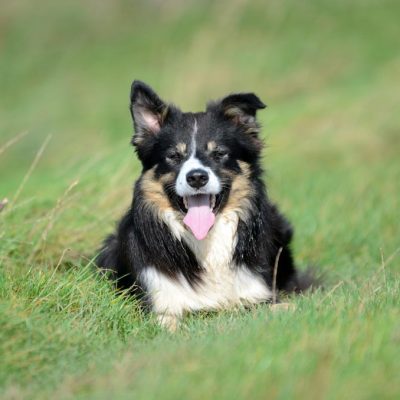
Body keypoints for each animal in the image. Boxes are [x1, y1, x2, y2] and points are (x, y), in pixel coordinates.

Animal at [97, 79, 310, 330]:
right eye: (173, 156)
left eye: (219, 153)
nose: (197, 177)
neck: (206, 241)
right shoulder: (161, 306)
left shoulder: (257, 294)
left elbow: (284, 306)